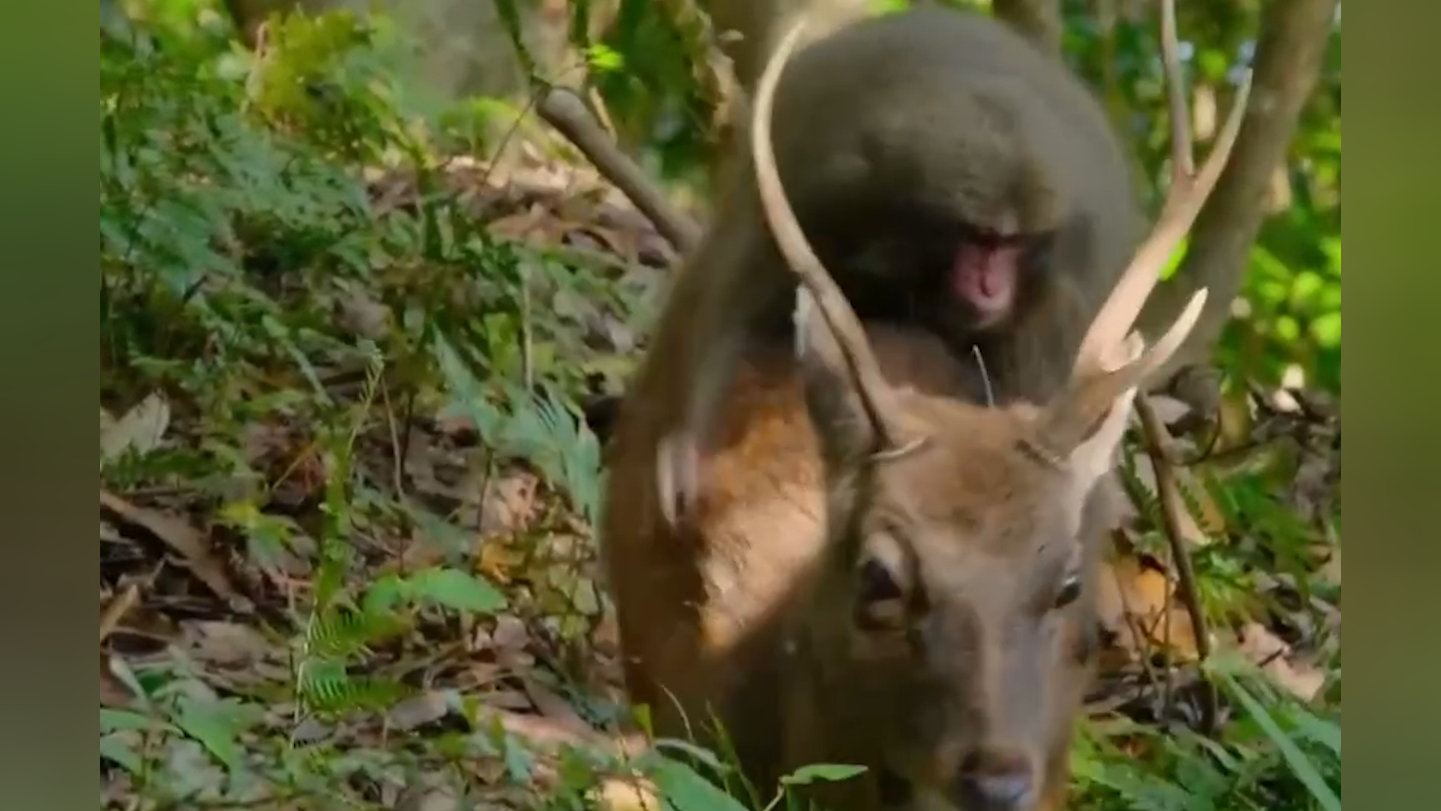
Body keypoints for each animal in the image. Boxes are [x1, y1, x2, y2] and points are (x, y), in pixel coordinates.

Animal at [657, 4, 1147, 527]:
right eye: (980, 239)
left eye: (1012, 244)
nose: (991, 288)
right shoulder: (821, 189)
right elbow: (745, 291)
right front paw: (687, 443)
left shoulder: (1061, 291)